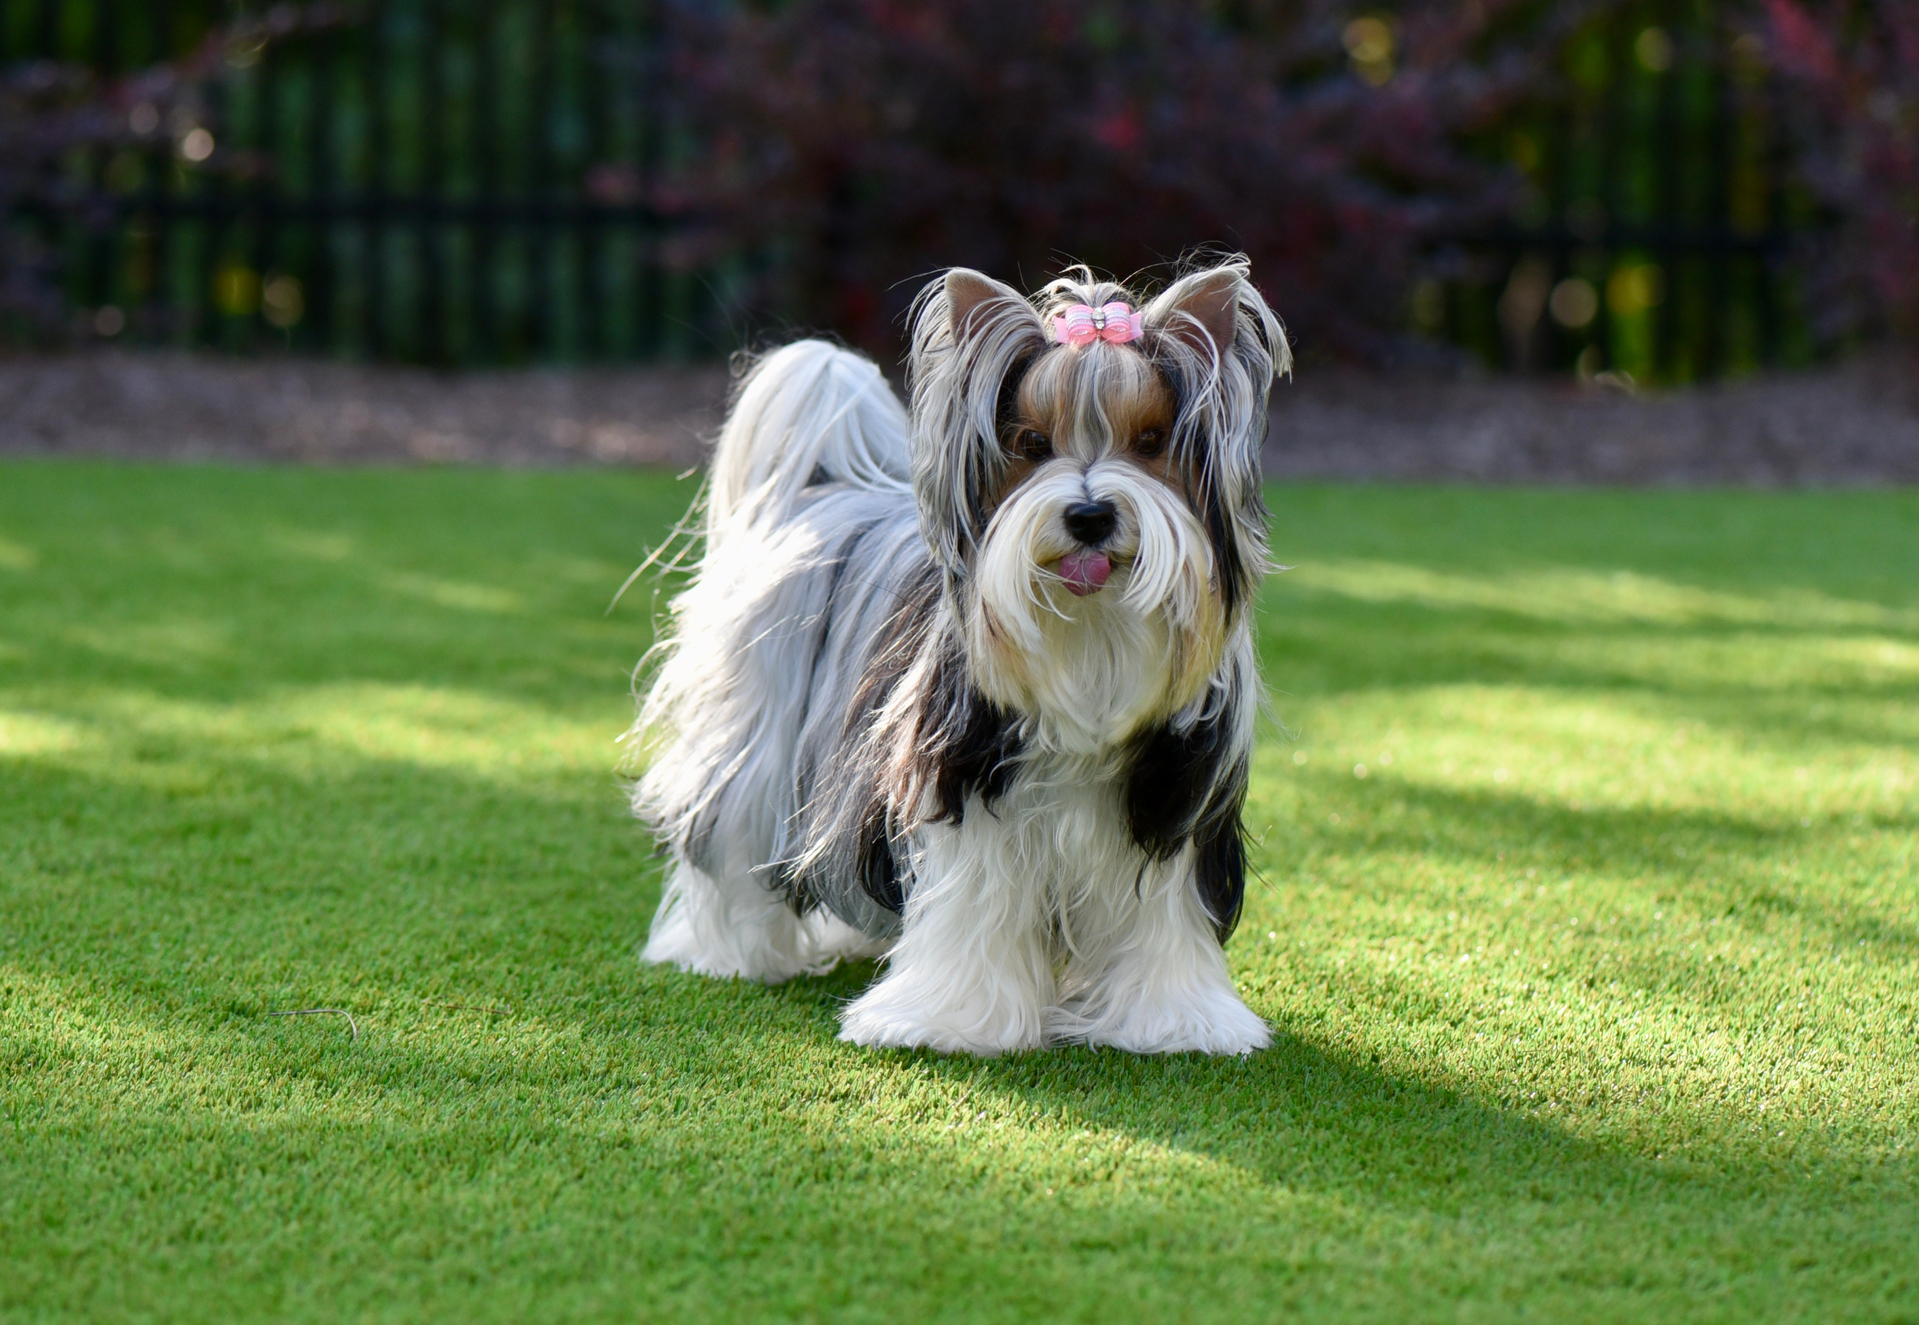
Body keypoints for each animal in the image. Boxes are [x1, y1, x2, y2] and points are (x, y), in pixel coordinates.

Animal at [629, 255, 1289, 1052]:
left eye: (1153, 439)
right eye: (1031, 444)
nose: (1090, 515)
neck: (1090, 637)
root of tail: (820, 493)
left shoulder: (1172, 803)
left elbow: (1158, 915)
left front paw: (1173, 1020)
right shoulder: (960, 789)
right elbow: (974, 902)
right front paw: (949, 1020)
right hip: (754, 733)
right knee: (728, 838)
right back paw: (729, 953)